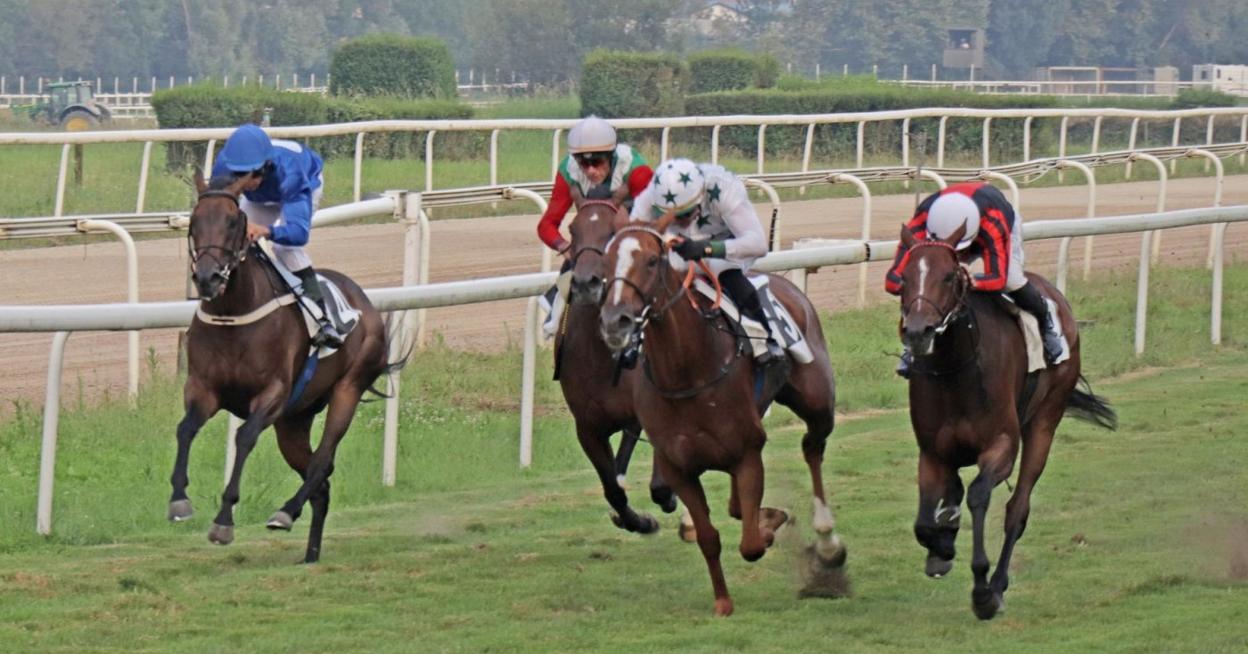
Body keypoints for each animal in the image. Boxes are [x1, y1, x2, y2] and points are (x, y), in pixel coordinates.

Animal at [167, 171, 399, 563]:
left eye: (233, 222)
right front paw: (179, 500)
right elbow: (185, 429)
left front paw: (224, 520)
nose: (208, 278)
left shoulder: (272, 395)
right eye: (195, 221)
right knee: (321, 482)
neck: (233, 312)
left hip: (347, 390)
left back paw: (286, 512)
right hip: (293, 422)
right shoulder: (203, 389)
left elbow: (244, 437)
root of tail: (363, 302)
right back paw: (311, 553)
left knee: (322, 461)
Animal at [557, 192, 677, 534]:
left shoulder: (645, 411)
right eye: (573, 230)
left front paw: (666, 496)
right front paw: (638, 521)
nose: (586, 283)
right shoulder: (587, 429)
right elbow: (613, 488)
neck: (599, 356)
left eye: (611, 232)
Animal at [599, 214, 847, 616]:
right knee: (739, 502)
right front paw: (723, 601)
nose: (615, 321)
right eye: (605, 263)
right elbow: (708, 536)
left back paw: (827, 544)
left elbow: (750, 544)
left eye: (652, 261)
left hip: (817, 403)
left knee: (813, 449)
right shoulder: (678, 467)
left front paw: (767, 530)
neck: (687, 372)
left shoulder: (747, 452)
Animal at [896, 224, 1117, 620]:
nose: (919, 332)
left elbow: (979, 495)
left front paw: (981, 588)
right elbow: (923, 521)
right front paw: (942, 548)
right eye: (904, 277)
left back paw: (997, 586)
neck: (955, 370)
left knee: (1018, 509)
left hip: (1045, 421)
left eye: (949, 276)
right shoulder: (932, 452)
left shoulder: (1001, 445)